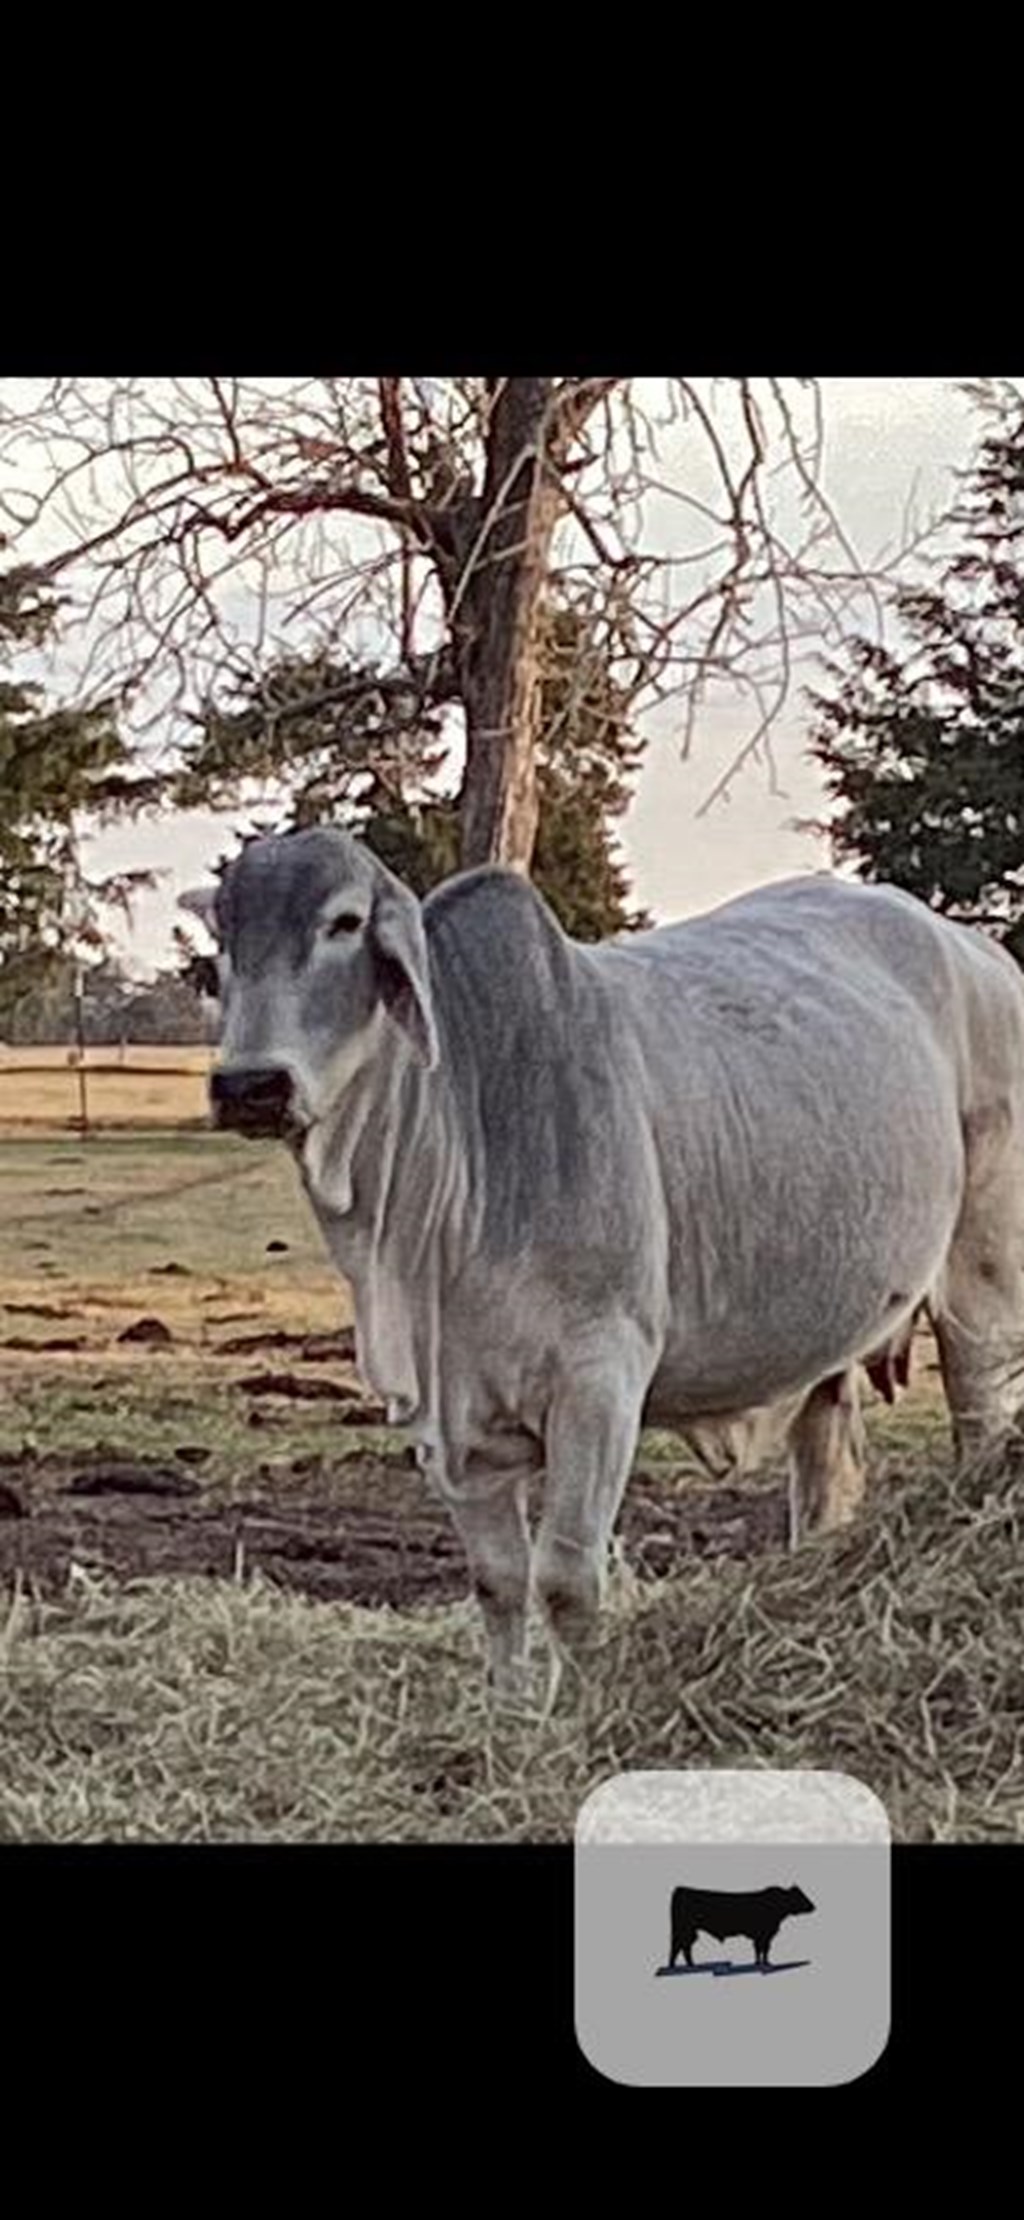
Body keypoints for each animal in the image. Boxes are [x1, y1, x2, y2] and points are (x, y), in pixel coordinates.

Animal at [179, 834, 1021, 1696]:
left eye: (345, 923)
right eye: (224, 935)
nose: (250, 1085)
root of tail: (978, 952)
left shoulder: (599, 1384)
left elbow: (566, 1581)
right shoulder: (455, 1422)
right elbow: (498, 1580)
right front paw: (508, 1706)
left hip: (981, 1287)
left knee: (980, 1422)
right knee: (827, 1476)